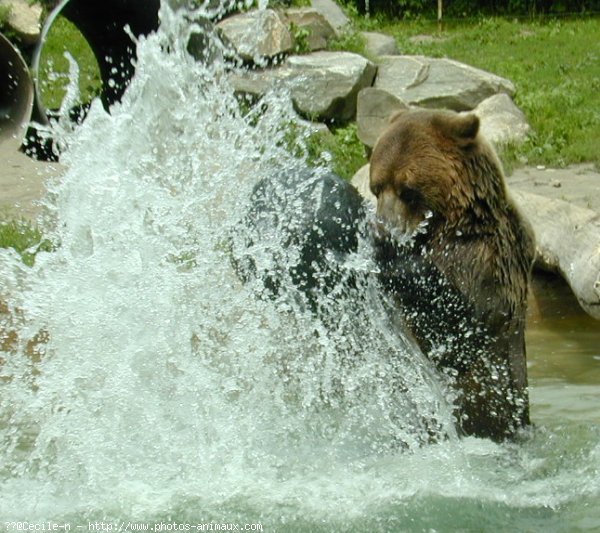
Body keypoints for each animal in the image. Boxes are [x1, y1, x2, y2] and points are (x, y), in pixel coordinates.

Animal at [370, 108, 536, 440]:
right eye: (377, 186)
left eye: (408, 190)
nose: (384, 227)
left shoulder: (483, 260)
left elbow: (456, 329)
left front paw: (393, 257)